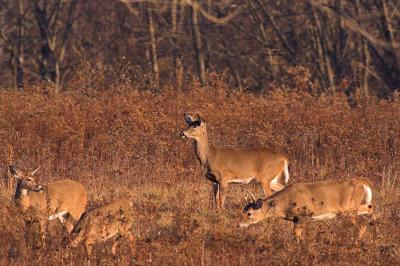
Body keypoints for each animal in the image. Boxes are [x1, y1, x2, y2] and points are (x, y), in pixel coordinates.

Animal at [241, 177, 376, 241]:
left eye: (249, 213)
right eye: (243, 211)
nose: (241, 224)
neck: (285, 203)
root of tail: (362, 183)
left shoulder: (305, 215)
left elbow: (296, 234)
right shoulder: (295, 219)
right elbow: (296, 233)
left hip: (348, 208)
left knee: (362, 223)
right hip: (353, 208)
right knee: (370, 207)